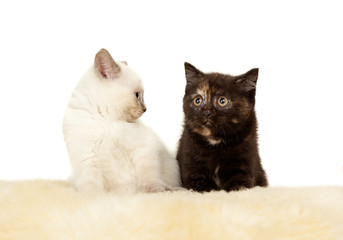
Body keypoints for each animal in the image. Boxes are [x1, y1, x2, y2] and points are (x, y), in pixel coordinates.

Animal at [63, 48, 181, 193]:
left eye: (141, 95)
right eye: (137, 95)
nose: (145, 109)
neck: (107, 119)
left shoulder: (144, 148)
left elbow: (148, 177)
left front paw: (153, 190)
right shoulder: (87, 156)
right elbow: (91, 186)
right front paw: (94, 195)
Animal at [177, 62, 268, 192]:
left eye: (222, 101)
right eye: (198, 100)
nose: (207, 112)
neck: (215, 142)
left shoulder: (244, 167)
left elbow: (238, 187)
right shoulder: (191, 168)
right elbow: (203, 188)